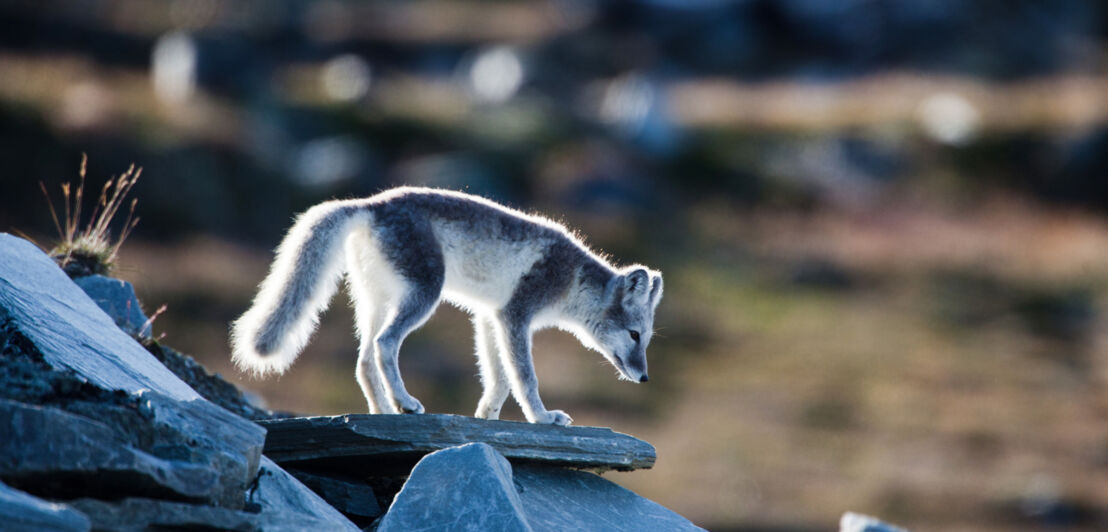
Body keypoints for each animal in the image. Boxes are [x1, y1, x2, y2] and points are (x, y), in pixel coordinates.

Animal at [224, 187, 655, 423]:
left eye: (647, 339)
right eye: (634, 335)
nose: (645, 378)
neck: (572, 280)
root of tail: (371, 204)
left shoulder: (490, 317)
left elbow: (498, 378)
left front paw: (487, 416)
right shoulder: (515, 316)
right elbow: (524, 377)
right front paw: (543, 418)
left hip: (375, 301)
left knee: (363, 359)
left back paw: (384, 411)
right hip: (424, 295)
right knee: (384, 344)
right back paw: (404, 403)